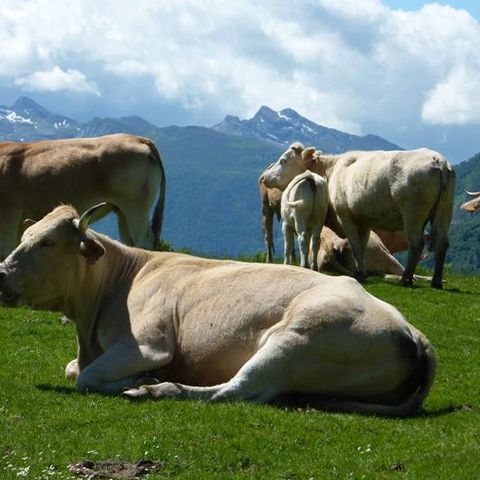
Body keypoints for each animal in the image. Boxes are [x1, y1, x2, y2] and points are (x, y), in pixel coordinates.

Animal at [0, 203, 436, 416]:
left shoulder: (149, 344)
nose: (1, 275)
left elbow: (86, 377)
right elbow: (73, 369)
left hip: (294, 340)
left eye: (48, 243)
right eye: (25, 235)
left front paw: (137, 379)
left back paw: (154, 389)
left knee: (234, 391)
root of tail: (413, 331)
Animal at [262, 143, 455, 288]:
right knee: (442, 244)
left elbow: (355, 245)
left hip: (412, 215)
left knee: (416, 245)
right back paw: (437, 281)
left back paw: (406, 278)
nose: (263, 176)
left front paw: (360, 273)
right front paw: (361, 270)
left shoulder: (346, 217)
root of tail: (437, 158)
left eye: (283, 160)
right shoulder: (364, 221)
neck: (331, 170)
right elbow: (361, 247)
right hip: (444, 212)